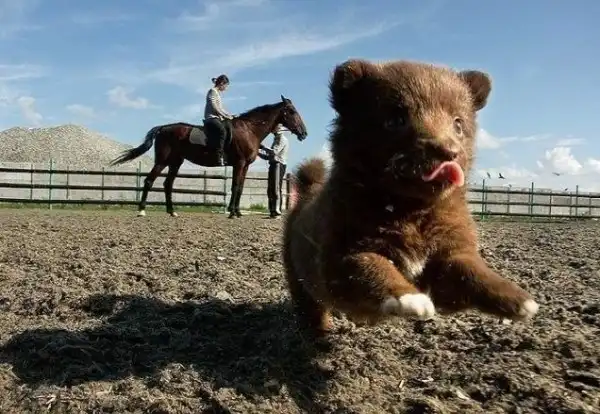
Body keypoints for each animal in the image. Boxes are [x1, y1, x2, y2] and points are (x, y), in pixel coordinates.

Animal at [109, 95, 308, 218]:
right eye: (292, 111)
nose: (304, 133)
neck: (249, 130)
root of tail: (164, 128)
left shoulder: (245, 166)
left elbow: (240, 188)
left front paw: (237, 212)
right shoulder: (239, 163)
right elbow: (235, 187)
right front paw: (232, 213)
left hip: (176, 162)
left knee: (167, 185)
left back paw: (172, 211)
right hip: (163, 161)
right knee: (149, 181)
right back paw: (141, 211)